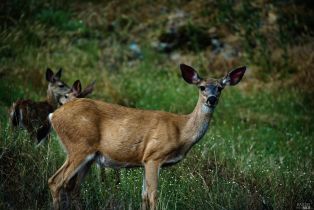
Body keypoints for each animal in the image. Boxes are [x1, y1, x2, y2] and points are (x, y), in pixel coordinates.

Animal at [47, 63, 247, 208]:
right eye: (202, 87)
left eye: (220, 88)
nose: (212, 99)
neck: (181, 131)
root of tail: (54, 115)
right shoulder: (154, 156)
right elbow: (153, 195)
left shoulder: (143, 160)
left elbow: (143, 195)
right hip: (79, 146)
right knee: (55, 181)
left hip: (87, 156)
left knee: (73, 188)